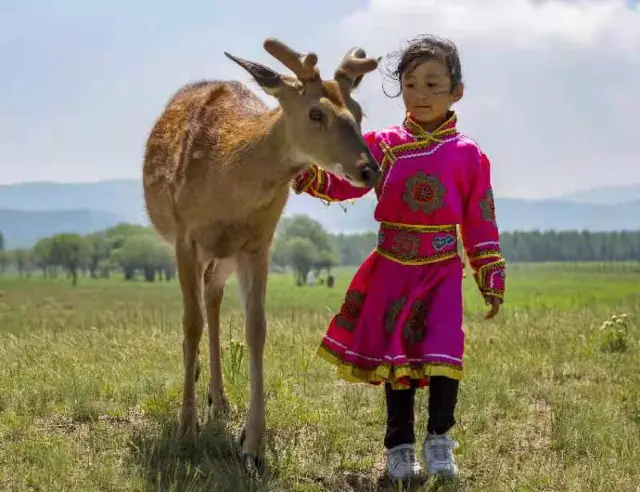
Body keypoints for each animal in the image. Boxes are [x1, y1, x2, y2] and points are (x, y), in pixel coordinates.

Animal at [142, 38, 381, 472]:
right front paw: (186, 430)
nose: (369, 169)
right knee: (201, 309)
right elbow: (190, 324)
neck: (226, 179)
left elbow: (257, 329)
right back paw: (200, 392)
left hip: (225, 257)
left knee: (213, 298)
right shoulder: (186, 237)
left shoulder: (259, 243)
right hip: (202, 250)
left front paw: (252, 445)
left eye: (358, 113)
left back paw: (218, 398)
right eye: (316, 112)